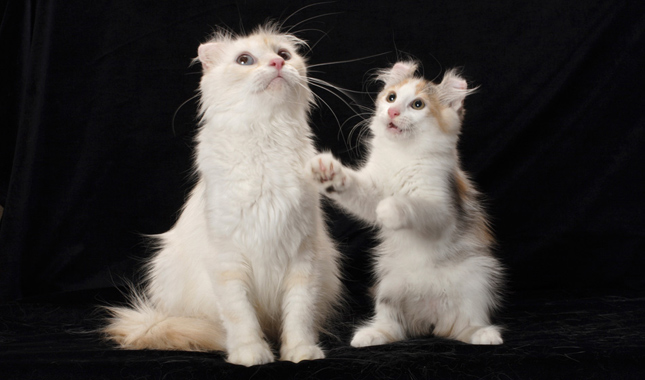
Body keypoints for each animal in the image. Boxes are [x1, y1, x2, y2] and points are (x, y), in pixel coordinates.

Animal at [104, 25, 342, 366]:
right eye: (245, 60)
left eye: (284, 54)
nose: (277, 64)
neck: (266, 137)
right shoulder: (228, 262)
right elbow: (241, 317)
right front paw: (251, 354)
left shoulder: (303, 258)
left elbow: (298, 315)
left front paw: (300, 353)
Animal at [306, 60, 504, 346]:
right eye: (391, 97)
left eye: (417, 104)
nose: (392, 111)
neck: (402, 154)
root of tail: (431, 317)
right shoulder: (372, 187)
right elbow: (358, 191)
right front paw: (328, 173)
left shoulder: (442, 208)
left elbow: (413, 206)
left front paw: (391, 209)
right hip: (388, 284)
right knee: (395, 327)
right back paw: (369, 335)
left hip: (477, 279)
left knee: (464, 324)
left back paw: (485, 335)